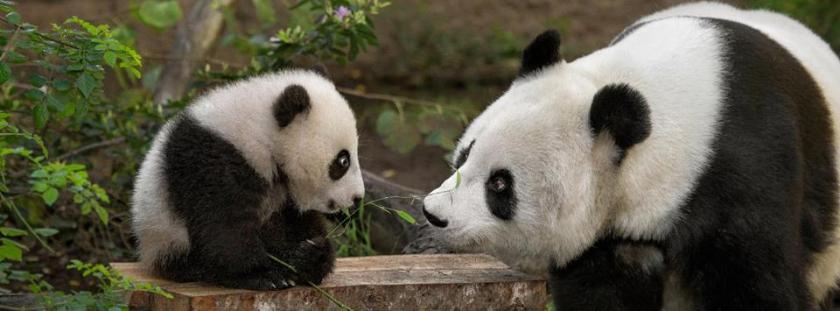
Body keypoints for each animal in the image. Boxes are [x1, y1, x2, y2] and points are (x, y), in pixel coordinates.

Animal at [131, 70, 364, 290]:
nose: (357, 197)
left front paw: (309, 255)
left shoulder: (285, 191)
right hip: (163, 233)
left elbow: (296, 222)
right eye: (343, 160)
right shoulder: (214, 160)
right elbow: (223, 226)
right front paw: (263, 275)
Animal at [424, 1, 840, 310]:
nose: (433, 214)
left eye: (500, 184)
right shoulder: (610, 232)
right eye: (464, 155)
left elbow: (755, 283)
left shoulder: (746, 170)